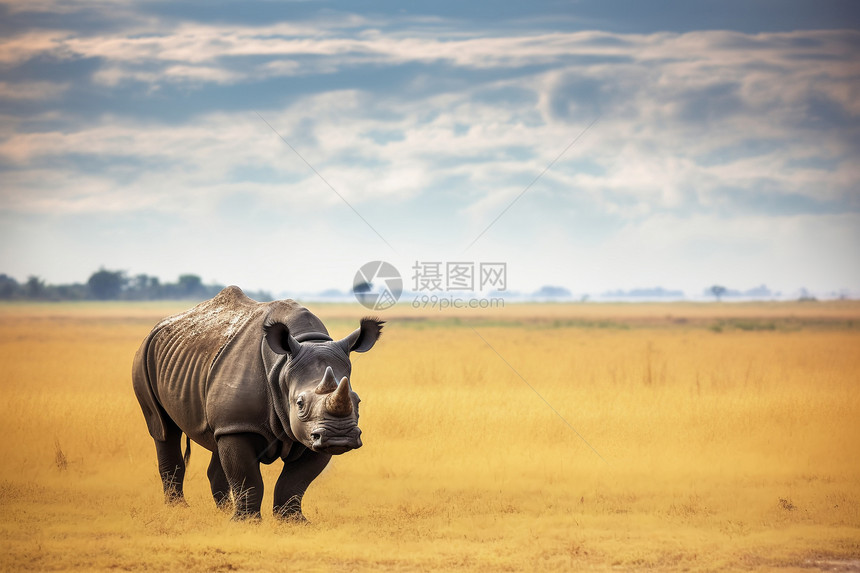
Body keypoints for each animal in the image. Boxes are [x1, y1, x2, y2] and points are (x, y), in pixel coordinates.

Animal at [130, 286, 380, 520]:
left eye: (358, 401)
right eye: (299, 403)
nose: (340, 437)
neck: (283, 366)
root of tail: (159, 326)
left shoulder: (312, 435)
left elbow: (295, 482)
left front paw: (293, 522)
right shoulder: (241, 425)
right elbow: (247, 478)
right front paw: (246, 522)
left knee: (216, 441)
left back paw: (222, 511)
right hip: (143, 356)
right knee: (163, 430)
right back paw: (179, 509)